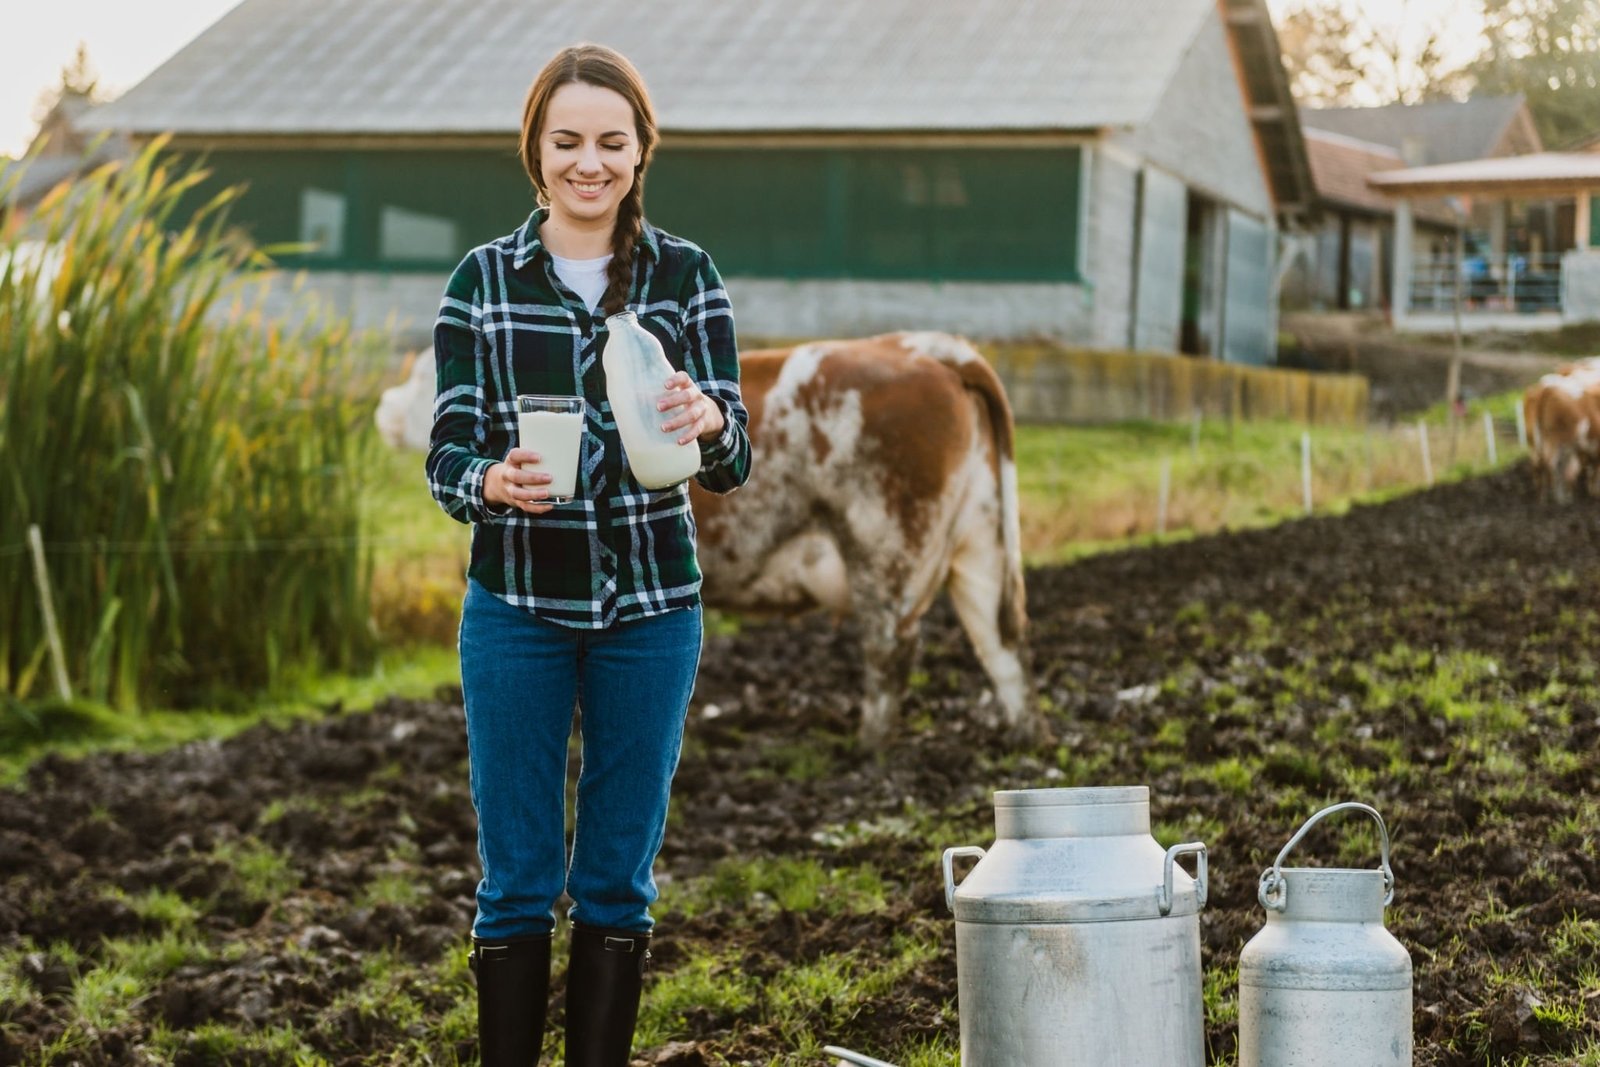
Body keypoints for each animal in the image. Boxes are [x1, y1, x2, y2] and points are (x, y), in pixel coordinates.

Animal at [684, 329, 1036, 748]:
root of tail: (913, 345)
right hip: (981, 536)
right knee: (1000, 642)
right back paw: (1025, 737)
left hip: (883, 545)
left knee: (890, 649)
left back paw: (870, 749)